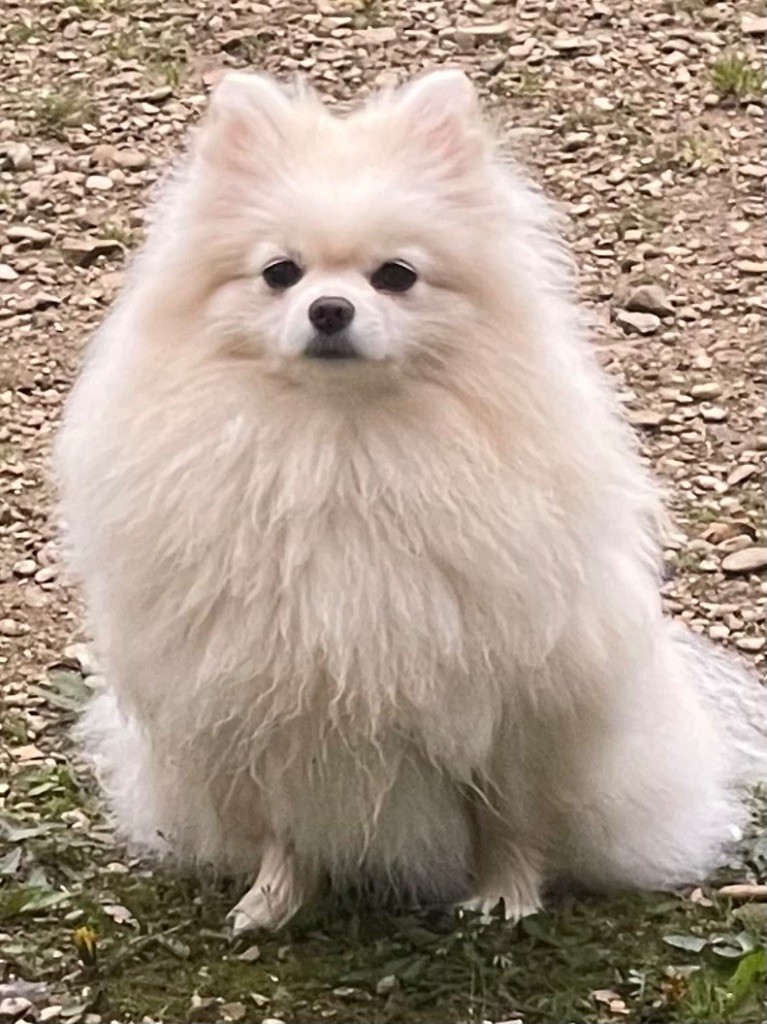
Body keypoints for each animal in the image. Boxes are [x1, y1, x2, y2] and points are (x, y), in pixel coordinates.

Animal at [55, 70, 765, 937]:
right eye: (280, 273)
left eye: (395, 275)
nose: (330, 309)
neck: (343, 447)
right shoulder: (261, 703)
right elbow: (286, 825)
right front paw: (272, 900)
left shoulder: (508, 707)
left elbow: (505, 816)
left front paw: (505, 896)